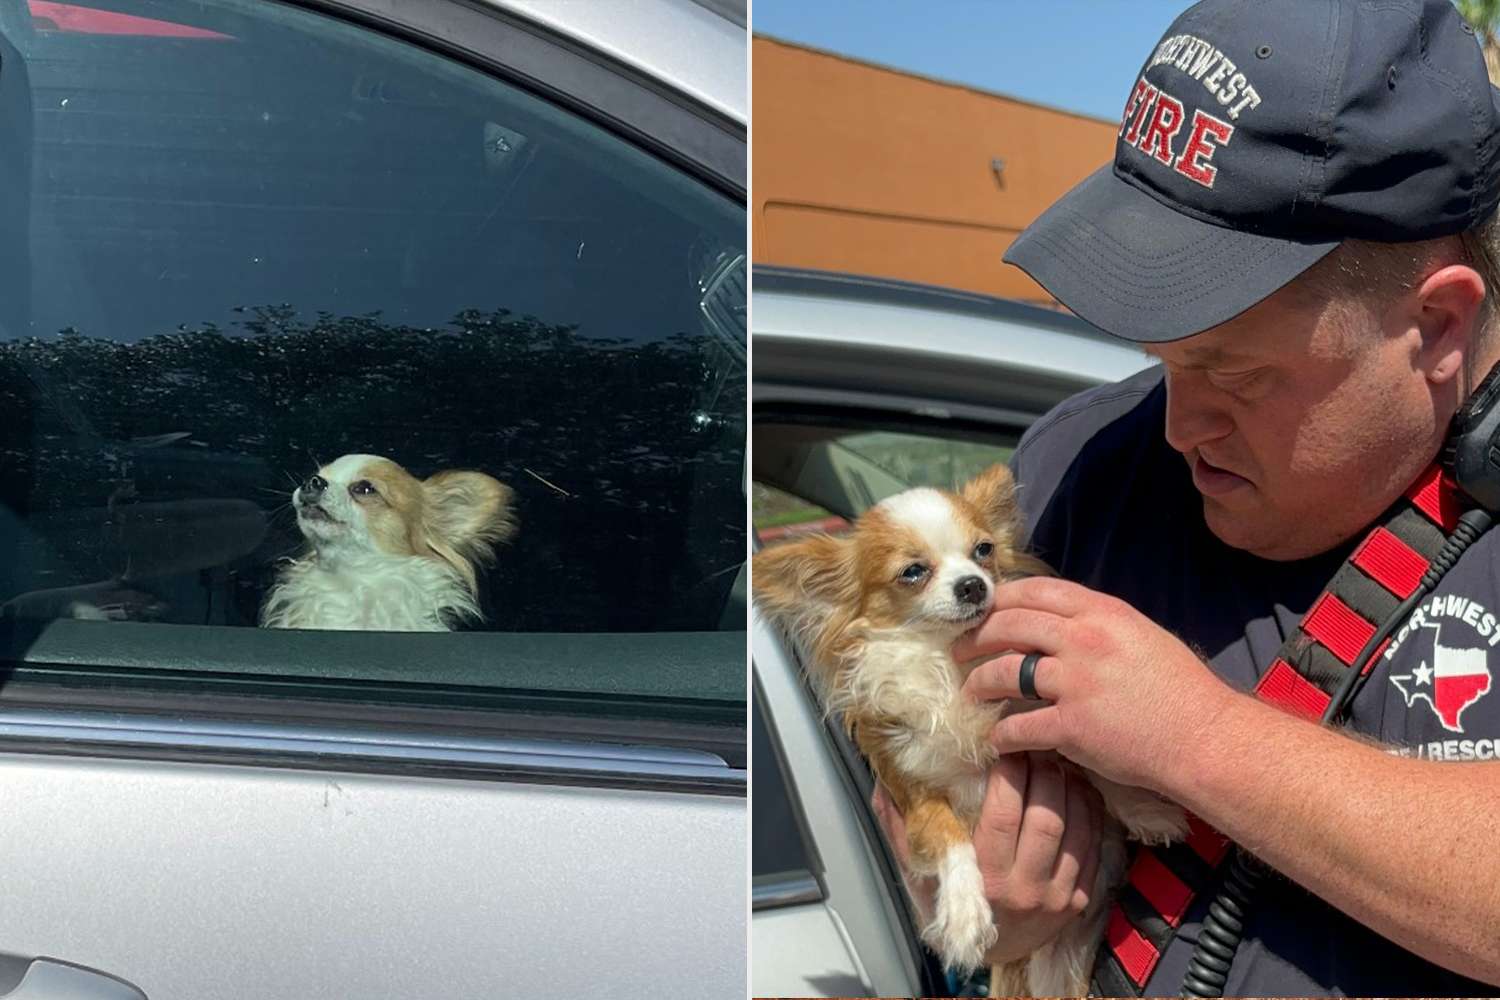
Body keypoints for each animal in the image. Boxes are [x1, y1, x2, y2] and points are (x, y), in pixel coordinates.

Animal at [750, 464, 1182, 995]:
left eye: (984, 550)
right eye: (913, 572)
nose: (973, 585)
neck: (950, 664)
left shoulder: (1039, 724)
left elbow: (1091, 762)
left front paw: (1146, 809)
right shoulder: (914, 796)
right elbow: (948, 832)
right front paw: (963, 916)